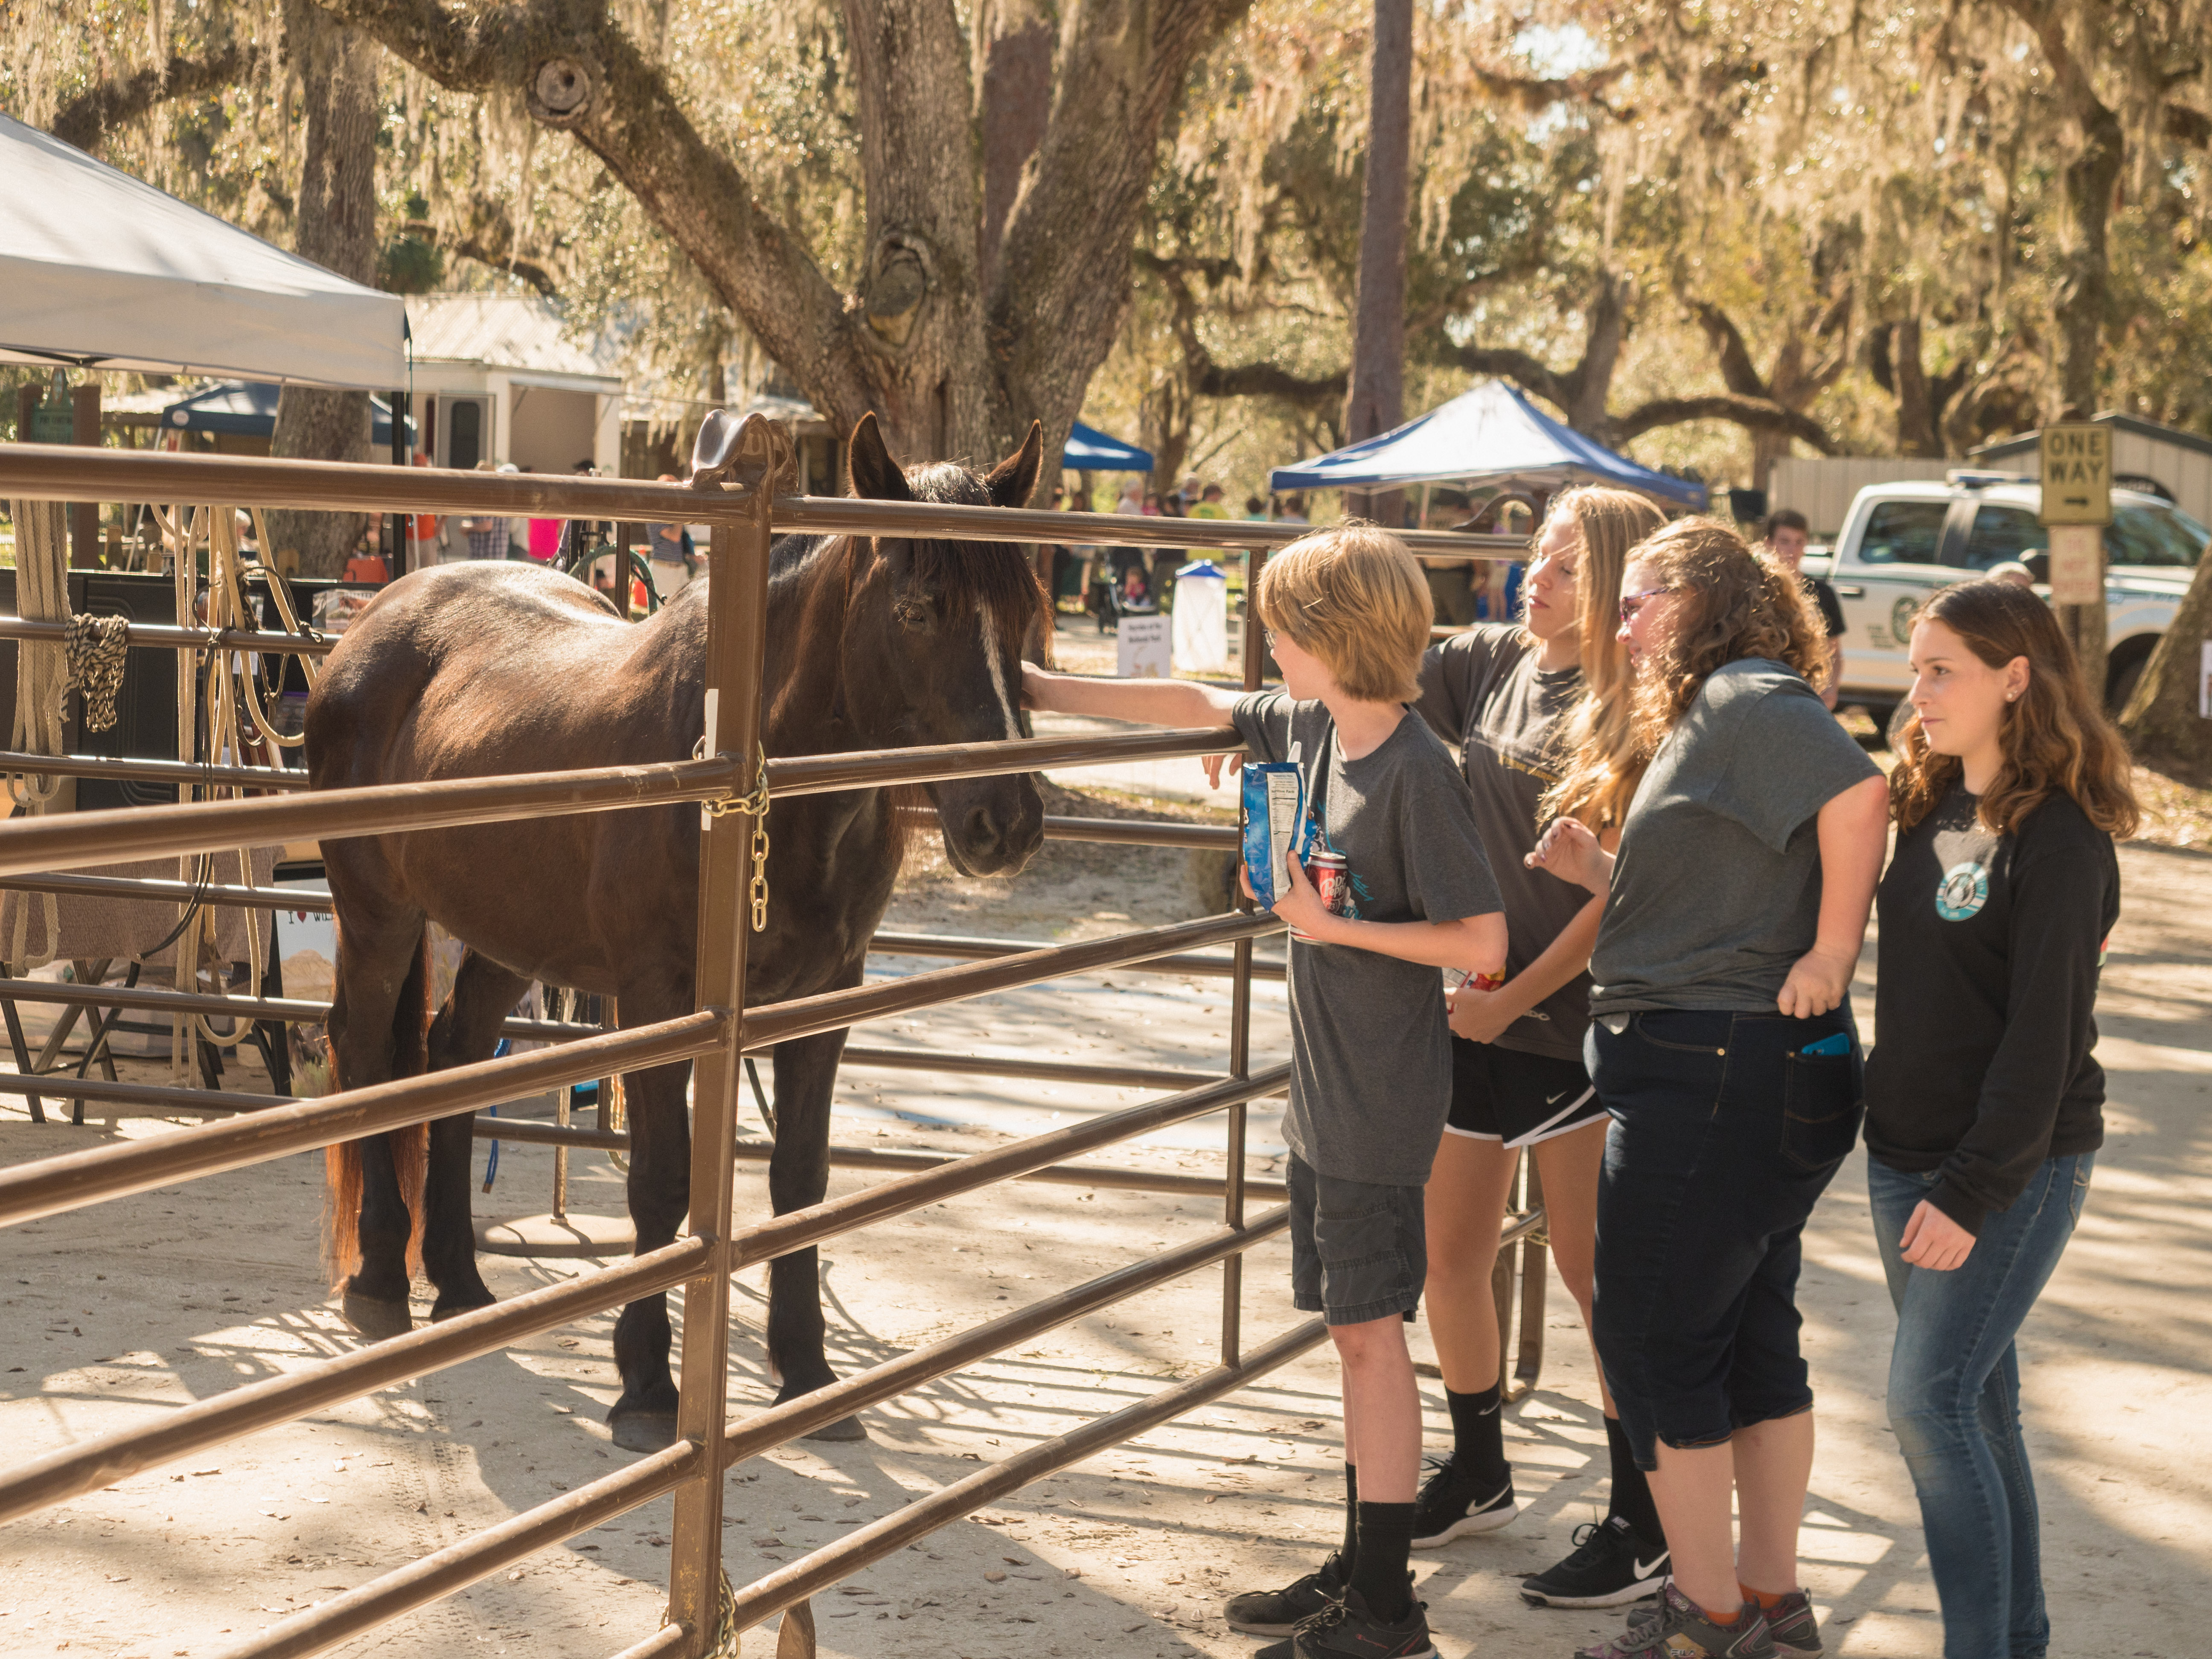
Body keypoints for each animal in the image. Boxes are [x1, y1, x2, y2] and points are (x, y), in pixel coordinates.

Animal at [305, 416, 1053, 1451]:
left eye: (1025, 612)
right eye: (916, 610)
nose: (1005, 822)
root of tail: (376, 620)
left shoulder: (823, 1000)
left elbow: (798, 1180)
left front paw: (808, 1377)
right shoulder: (658, 999)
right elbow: (662, 1185)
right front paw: (648, 1391)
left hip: (506, 935)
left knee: (453, 1054)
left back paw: (458, 1283)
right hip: (377, 913)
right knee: (372, 1055)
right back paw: (380, 1280)